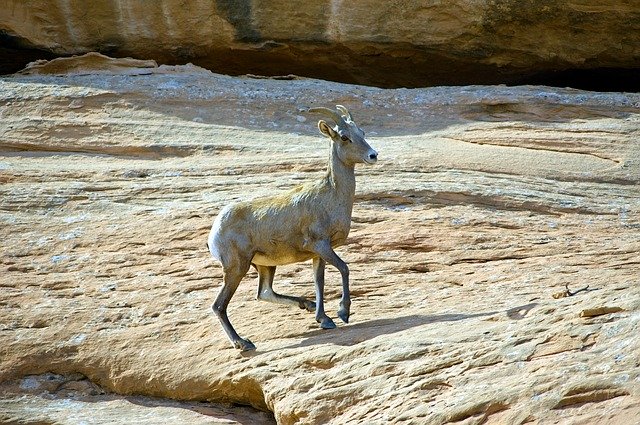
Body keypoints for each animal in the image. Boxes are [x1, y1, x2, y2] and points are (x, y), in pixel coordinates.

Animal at [208, 104, 378, 350]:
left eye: (362, 133)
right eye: (345, 137)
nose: (373, 155)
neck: (331, 197)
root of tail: (214, 231)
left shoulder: (318, 254)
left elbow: (319, 282)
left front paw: (324, 320)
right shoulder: (321, 245)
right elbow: (344, 268)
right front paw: (343, 313)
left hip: (265, 266)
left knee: (264, 292)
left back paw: (306, 305)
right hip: (236, 268)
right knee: (219, 305)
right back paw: (243, 343)